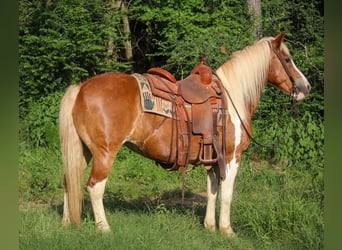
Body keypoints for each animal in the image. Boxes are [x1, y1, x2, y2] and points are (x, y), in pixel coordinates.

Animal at [58, 32, 310, 235]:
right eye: (287, 59)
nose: (306, 87)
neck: (233, 99)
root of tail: (81, 88)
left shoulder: (213, 159)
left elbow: (212, 191)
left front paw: (210, 226)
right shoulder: (231, 157)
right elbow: (227, 193)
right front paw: (227, 230)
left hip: (83, 152)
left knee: (69, 180)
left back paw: (68, 223)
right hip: (104, 153)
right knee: (94, 186)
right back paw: (104, 228)